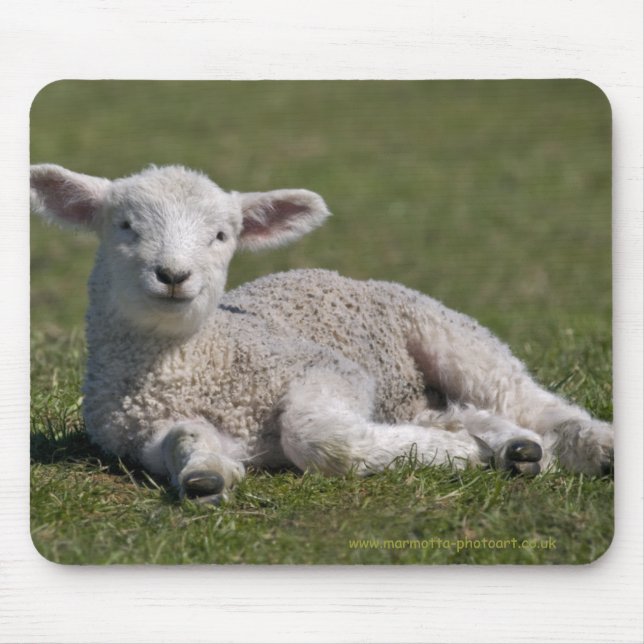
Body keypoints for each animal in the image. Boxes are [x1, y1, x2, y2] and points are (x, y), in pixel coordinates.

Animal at [30, 163, 614, 503]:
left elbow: (317, 438)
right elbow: (184, 441)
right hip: (404, 394)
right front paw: (205, 475)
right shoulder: (141, 436)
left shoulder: (328, 369)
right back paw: (516, 448)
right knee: (465, 411)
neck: (193, 363)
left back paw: (590, 447)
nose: (173, 275)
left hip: (447, 332)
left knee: (526, 398)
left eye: (221, 235)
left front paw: (458, 455)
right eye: (125, 226)